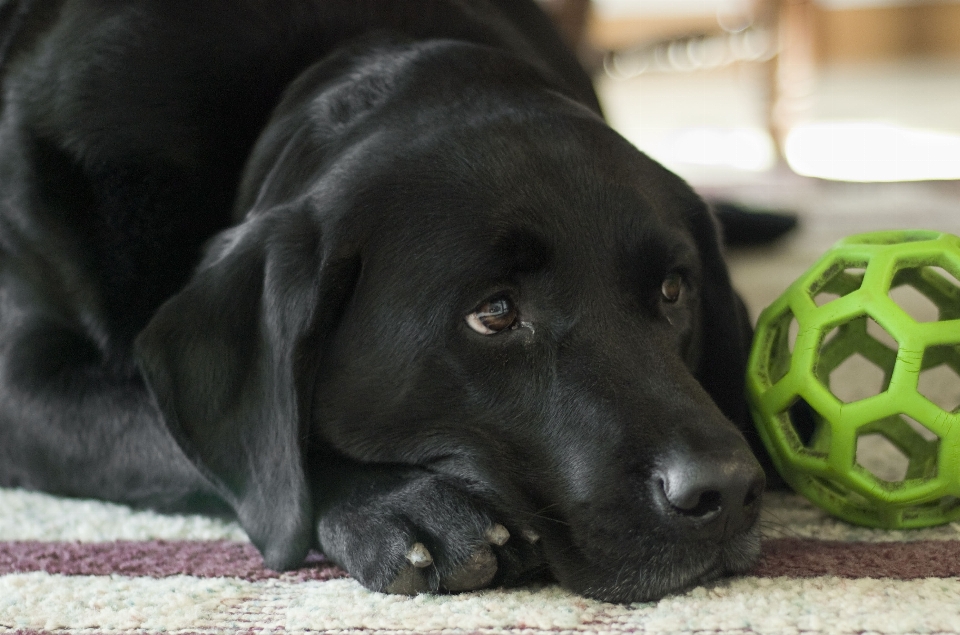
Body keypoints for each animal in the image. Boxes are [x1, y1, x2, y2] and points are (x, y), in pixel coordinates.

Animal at [0, 0, 768, 600]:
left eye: (672, 289)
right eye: (494, 313)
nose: (727, 489)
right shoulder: (23, 390)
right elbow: (212, 446)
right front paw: (404, 508)